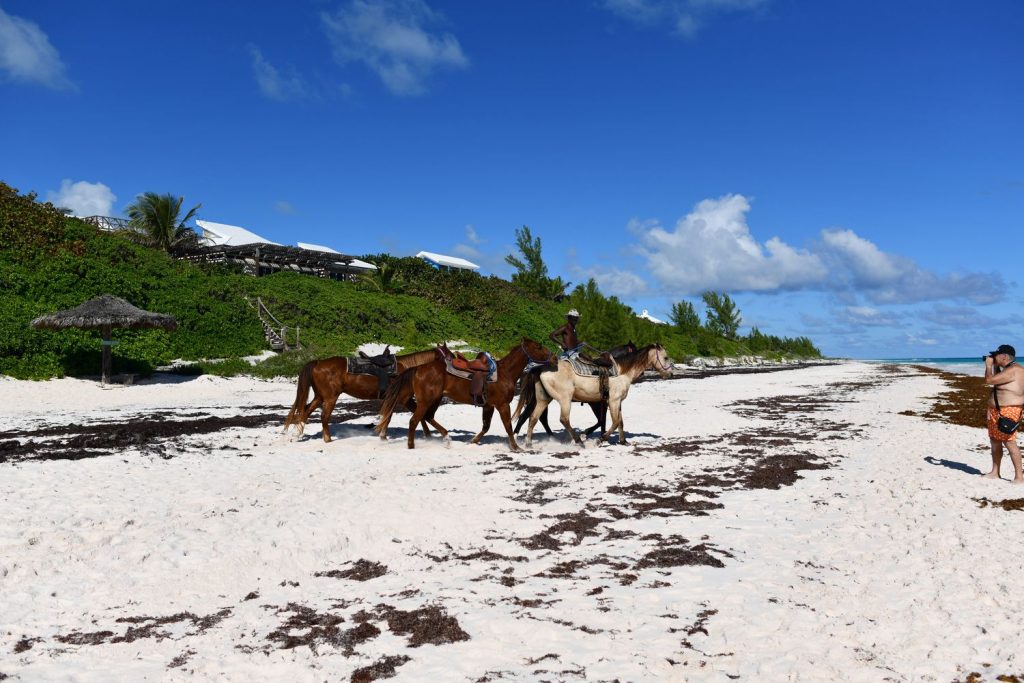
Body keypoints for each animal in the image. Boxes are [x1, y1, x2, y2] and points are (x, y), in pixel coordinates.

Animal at [283, 346, 443, 442]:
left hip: (320, 396)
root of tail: (318, 362)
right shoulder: (403, 398)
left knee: (306, 410)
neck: (406, 370)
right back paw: (327, 439)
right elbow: (417, 414)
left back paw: (297, 435)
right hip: (330, 398)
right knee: (323, 416)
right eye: (447, 355)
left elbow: (391, 417)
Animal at [375, 338, 554, 451]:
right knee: (414, 420)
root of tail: (417, 368)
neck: (505, 373)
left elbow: (486, 426)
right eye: (539, 346)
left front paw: (473, 440)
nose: (553, 357)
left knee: (428, 417)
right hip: (426, 401)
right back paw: (411, 445)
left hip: (435, 399)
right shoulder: (502, 405)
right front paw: (515, 447)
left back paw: (446, 437)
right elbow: (508, 426)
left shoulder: (488, 406)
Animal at [516, 343, 672, 448]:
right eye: (665, 357)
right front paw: (600, 439)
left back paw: (529, 443)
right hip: (565, 399)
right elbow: (615, 422)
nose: (670, 374)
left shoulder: (617, 402)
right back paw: (579, 441)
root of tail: (541, 367)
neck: (622, 371)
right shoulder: (613, 401)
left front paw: (623, 441)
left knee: (533, 418)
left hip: (543, 399)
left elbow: (620, 422)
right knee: (563, 419)